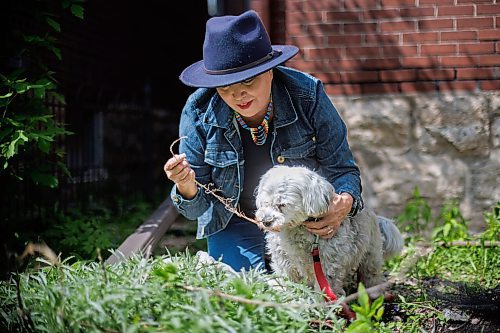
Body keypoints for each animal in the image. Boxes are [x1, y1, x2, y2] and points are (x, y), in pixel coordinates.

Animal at [256, 165, 404, 296]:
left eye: (282, 204)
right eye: (265, 203)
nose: (266, 221)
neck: (295, 228)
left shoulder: (328, 264)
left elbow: (326, 288)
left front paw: (323, 306)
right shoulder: (283, 261)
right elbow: (287, 281)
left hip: (371, 255)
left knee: (371, 274)